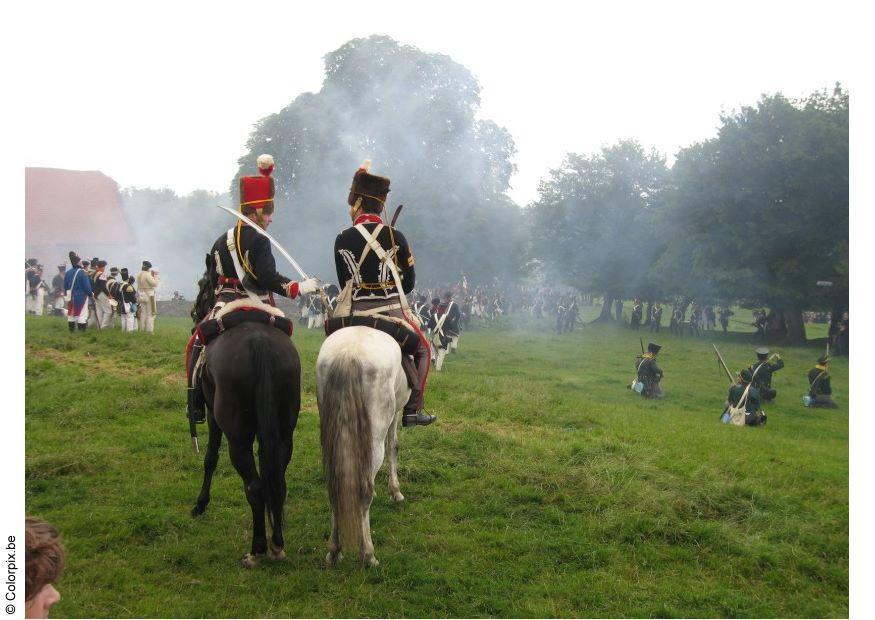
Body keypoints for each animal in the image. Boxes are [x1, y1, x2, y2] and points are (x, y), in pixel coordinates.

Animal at [191, 276, 302, 568]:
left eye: (202, 285)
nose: (194, 313)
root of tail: (259, 342)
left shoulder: (213, 415)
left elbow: (210, 458)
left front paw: (201, 503)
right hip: (283, 435)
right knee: (277, 483)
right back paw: (277, 544)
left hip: (238, 439)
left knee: (254, 487)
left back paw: (257, 549)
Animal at [314, 330, 410, 568]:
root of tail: (349, 353)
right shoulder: (395, 413)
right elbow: (393, 446)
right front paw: (395, 491)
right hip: (373, 436)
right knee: (363, 490)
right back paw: (368, 554)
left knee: (335, 487)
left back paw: (334, 550)